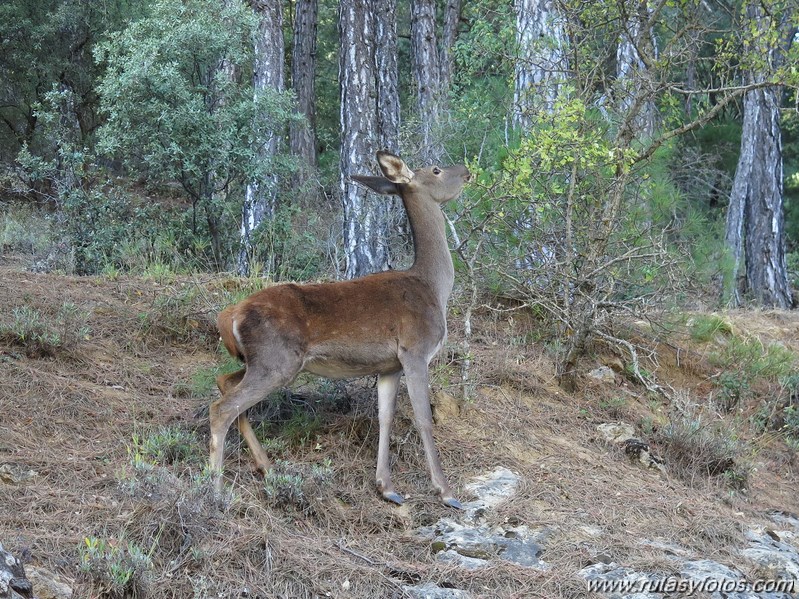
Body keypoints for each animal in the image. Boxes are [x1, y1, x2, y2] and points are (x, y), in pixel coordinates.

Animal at [212, 150, 472, 506]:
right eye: (436, 169)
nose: (468, 171)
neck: (433, 287)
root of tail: (230, 315)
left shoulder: (389, 365)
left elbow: (385, 417)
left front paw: (387, 488)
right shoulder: (415, 350)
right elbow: (423, 418)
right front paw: (446, 492)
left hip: (264, 361)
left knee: (225, 382)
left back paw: (267, 467)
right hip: (276, 360)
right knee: (222, 408)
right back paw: (214, 487)